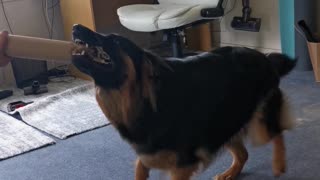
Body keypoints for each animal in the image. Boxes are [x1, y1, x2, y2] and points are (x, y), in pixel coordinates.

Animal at [71, 24, 296, 180]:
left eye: (116, 42)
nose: (75, 27)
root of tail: (264, 57)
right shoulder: (150, 153)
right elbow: (140, 167)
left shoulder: (183, 164)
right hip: (222, 122)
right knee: (243, 154)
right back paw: (231, 173)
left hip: (259, 122)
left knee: (277, 133)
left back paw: (279, 164)